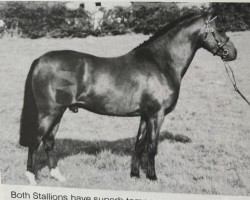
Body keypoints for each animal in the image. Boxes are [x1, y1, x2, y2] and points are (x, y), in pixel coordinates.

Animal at [19, 12, 236, 184]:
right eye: (220, 29)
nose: (233, 53)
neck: (160, 63)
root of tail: (39, 60)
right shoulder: (156, 114)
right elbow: (152, 146)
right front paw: (152, 177)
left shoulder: (145, 115)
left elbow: (139, 145)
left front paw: (135, 175)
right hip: (48, 112)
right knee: (35, 141)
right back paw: (31, 177)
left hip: (59, 112)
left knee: (49, 141)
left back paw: (57, 176)